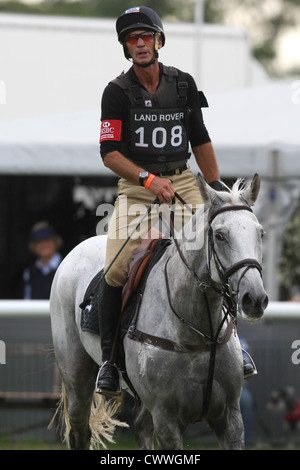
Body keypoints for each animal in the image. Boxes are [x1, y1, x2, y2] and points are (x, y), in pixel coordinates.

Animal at [50, 174, 268, 450]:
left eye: (260, 233)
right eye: (220, 236)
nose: (255, 299)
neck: (197, 332)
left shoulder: (230, 418)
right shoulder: (167, 422)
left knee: (141, 426)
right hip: (76, 379)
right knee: (80, 431)